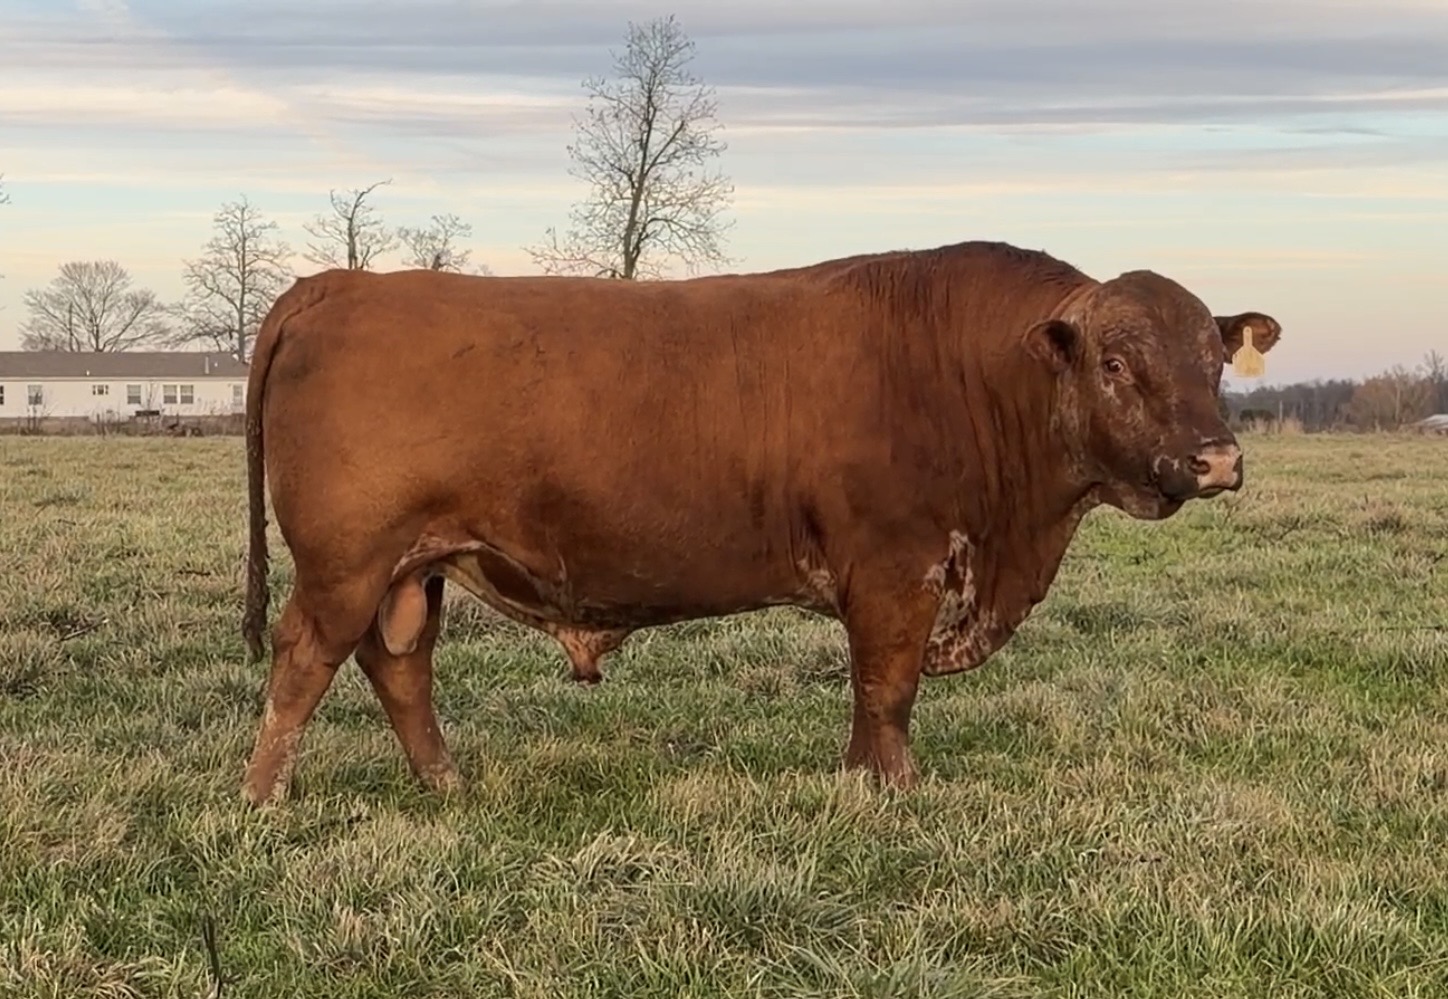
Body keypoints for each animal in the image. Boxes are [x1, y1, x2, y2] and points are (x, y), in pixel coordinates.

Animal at [237, 239, 1282, 805]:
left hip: (413, 567)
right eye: (1115, 362)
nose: (1216, 458)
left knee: (398, 667)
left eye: (1213, 360)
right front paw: (895, 792)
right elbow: (888, 687)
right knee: (303, 662)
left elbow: (871, 693)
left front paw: (859, 782)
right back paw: (262, 800)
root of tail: (346, 281)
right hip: (346, 562)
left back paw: (447, 784)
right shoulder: (896, 565)